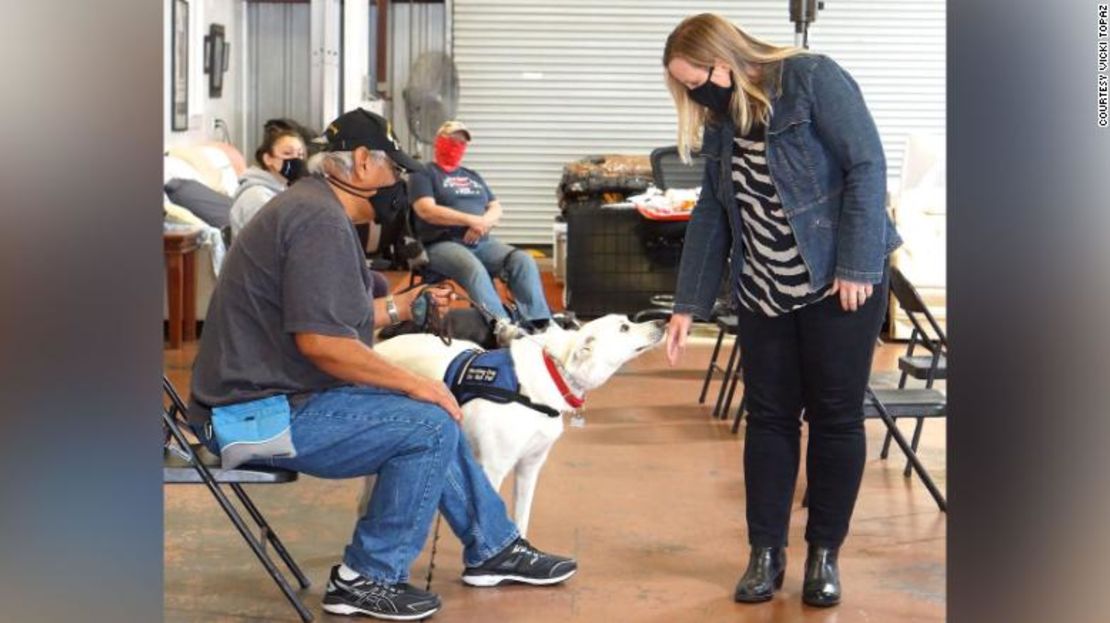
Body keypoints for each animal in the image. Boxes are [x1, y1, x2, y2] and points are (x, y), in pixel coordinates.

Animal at [368, 315, 666, 535]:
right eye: (624, 327)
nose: (662, 322)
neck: (550, 375)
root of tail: (376, 349)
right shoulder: (493, 468)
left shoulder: (529, 467)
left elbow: (521, 518)